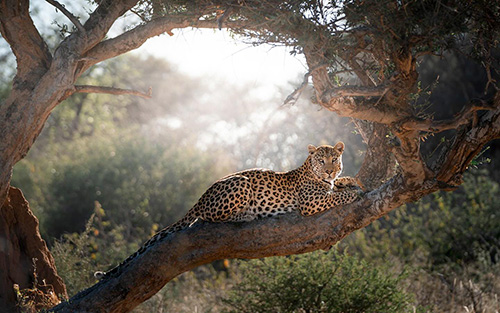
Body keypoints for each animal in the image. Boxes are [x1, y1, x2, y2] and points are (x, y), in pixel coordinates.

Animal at [94, 141, 360, 278]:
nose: (329, 170)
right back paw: (246, 214)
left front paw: (350, 180)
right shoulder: (310, 202)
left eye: (334, 159)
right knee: (209, 217)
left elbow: (339, 185)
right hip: (240, 183)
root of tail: (201, 196)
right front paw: (354, 192)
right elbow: (335, 197)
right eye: (321, 160)